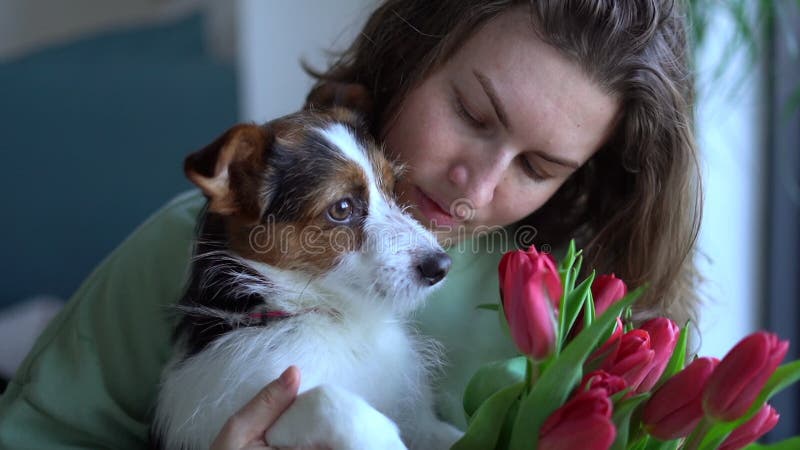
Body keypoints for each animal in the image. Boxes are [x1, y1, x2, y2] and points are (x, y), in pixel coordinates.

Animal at [152, 89, 462, 448]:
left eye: (392, 188)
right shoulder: (238, 405)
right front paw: (381, 438)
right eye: (341, 208)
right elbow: (325, 398)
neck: (330, 318)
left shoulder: (422, 421)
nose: (442, 266)